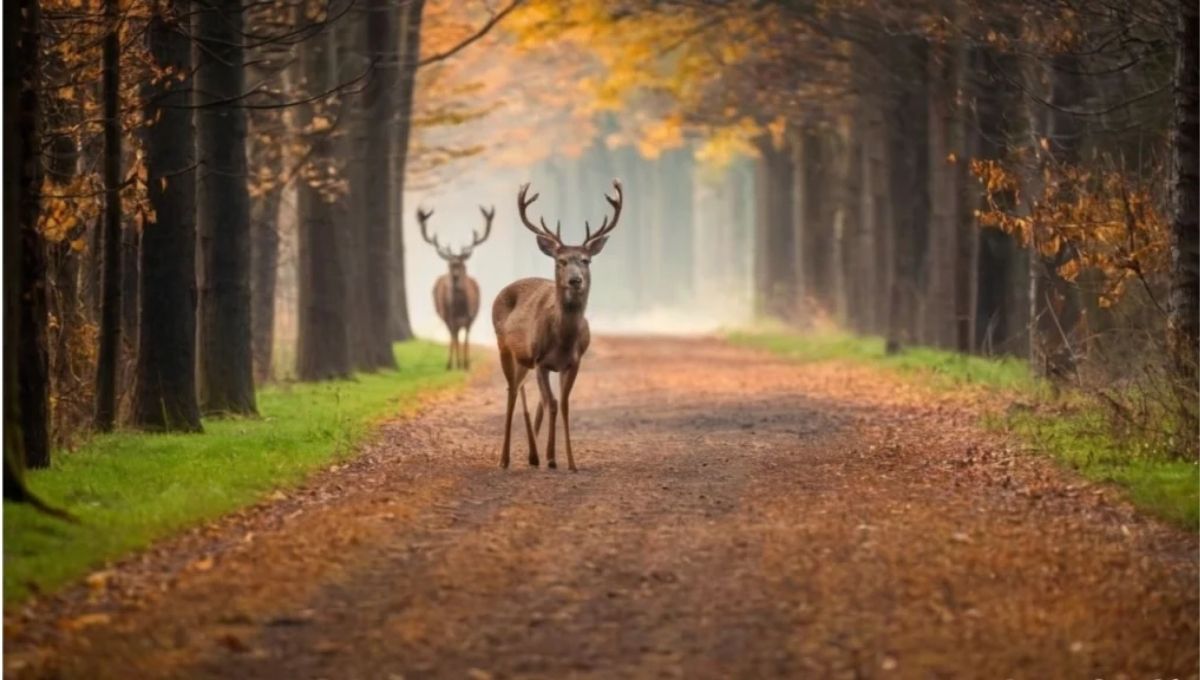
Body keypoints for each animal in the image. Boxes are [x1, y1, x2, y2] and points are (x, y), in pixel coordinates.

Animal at [418, 205, 493, 370]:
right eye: (450, 265)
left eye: (462, 265)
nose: (455, 277)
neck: (460, 310)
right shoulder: (449, 317)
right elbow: (454, 338)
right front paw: (455, 364)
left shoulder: (470, 317)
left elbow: (466, 339)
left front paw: (465, 364)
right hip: (444, 316)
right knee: (453, 336)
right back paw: (450, 363)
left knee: (459, 336)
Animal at [492, 179, 623, 471]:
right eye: (560, 261)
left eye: (586, 260)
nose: (575, 280)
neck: (563, 340)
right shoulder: (540, 359)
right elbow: (552, 403)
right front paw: (552, 457)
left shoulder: (573, 362)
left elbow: (562, 404)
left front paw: (569, 462)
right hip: (506, 349)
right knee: (512, 392)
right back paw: (505, 459)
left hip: (528, 363)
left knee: (533, 397)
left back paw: (534, 455)